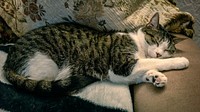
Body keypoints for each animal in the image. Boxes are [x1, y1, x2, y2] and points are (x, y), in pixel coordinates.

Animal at [1, 12, 189, 95]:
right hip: (46, 65)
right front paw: (180, 61)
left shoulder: (126, 73)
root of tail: (8, 60)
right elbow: (153, 63)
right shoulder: (121, 66)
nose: (158, 53)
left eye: (167, 49)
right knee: (41, 83)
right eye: (155, 41)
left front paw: (156, 77)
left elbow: (145, 70)